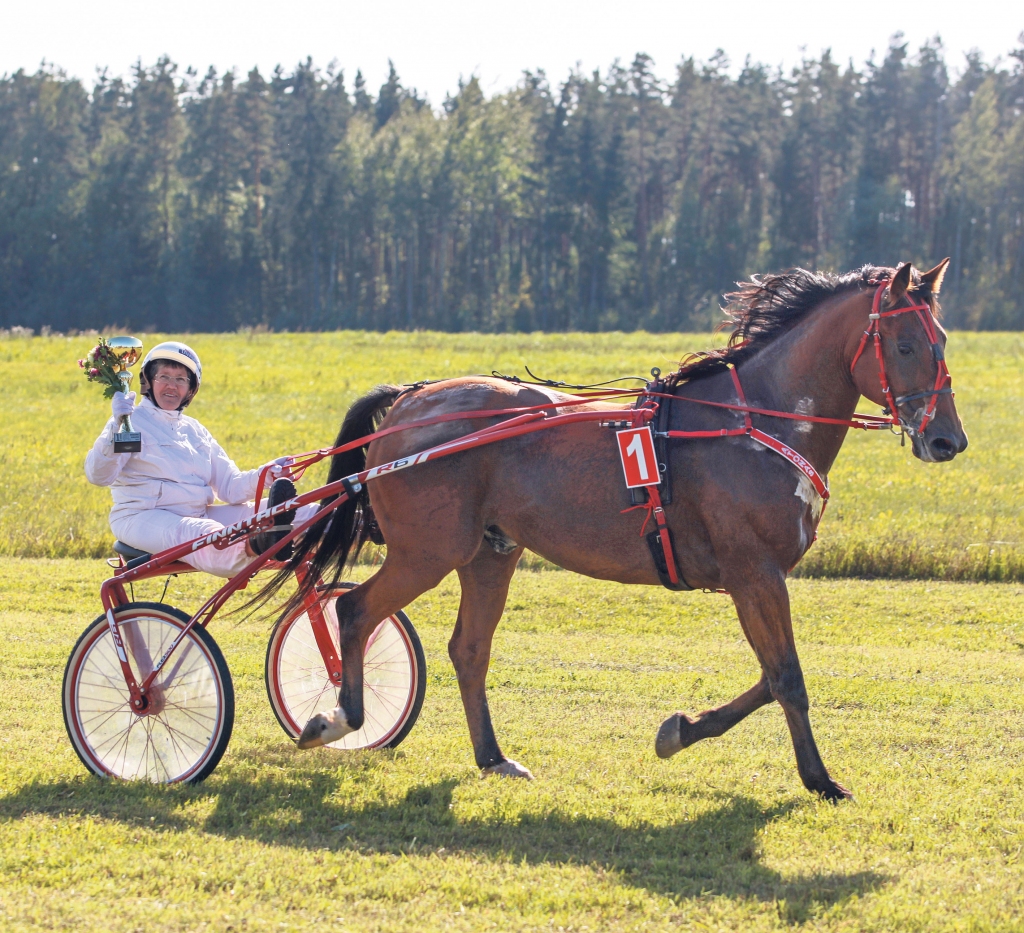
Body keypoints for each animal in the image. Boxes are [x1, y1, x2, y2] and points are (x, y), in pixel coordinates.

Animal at [268, 262, 962, 802]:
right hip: (427, 552)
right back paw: (337, 719)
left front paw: (681, 729)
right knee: (355, 610)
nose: (947, 440)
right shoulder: (754, 573)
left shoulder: (755, 579)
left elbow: (770, 676)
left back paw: (493, 757)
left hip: (491, 552)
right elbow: (787, 677)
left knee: (468, 649)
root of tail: (411, 401)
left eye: (942, 340)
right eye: (904, 345)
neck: (751, 422)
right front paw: (820, 779)